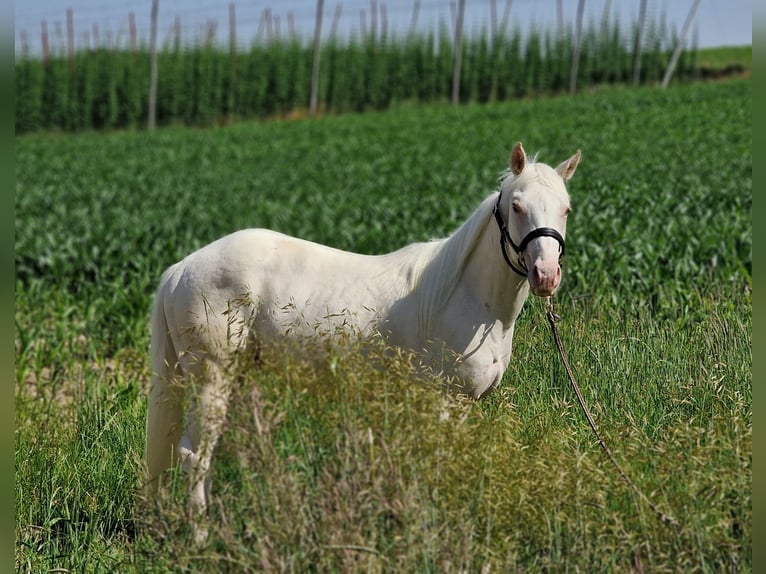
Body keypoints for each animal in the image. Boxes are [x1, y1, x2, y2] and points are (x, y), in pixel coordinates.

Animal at [146, 142, 584, 544]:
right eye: (517, 206)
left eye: (565, 209)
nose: (546, 275)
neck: (463, 295)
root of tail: (180, 269)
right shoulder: (442, 402)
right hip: (211, 380)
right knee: (194, 455)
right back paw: (202, 537)